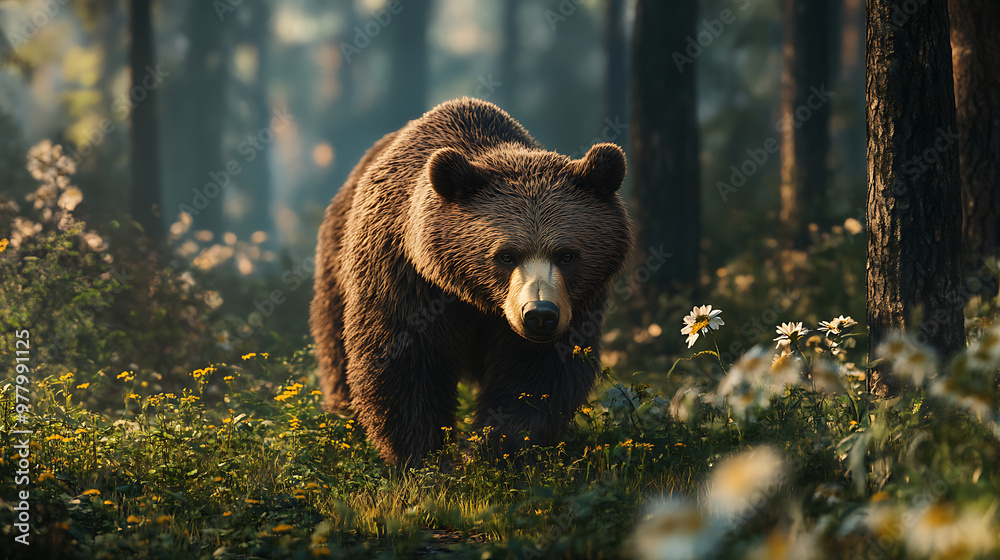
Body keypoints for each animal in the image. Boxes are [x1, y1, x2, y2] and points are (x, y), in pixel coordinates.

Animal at [309, 98, 633, 466]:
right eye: (506, 255)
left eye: (567, 255)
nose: (539, 315)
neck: (474, 295)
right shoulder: (407, 278)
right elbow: (406, 362)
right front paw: (424, 453)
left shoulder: (574, 305)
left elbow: (537, 374)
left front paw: (500, 448)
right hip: (337, 265)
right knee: (335, 341)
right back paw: (342, 413)